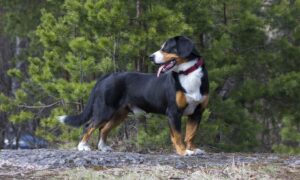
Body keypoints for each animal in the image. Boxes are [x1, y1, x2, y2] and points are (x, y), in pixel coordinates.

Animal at [58, 35, 209, 156]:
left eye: (167, 48)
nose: (150, 57)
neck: (188, 73)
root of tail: (108, 76)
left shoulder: (197, 112)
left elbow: (191, 134)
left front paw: (192, 149)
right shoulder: (173, 112)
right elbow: (177, 135)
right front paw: (183, 151)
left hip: (119, 114)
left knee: (103, 128)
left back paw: (103, 147)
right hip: (105, 110)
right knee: (89, 125)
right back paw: (82, 146)